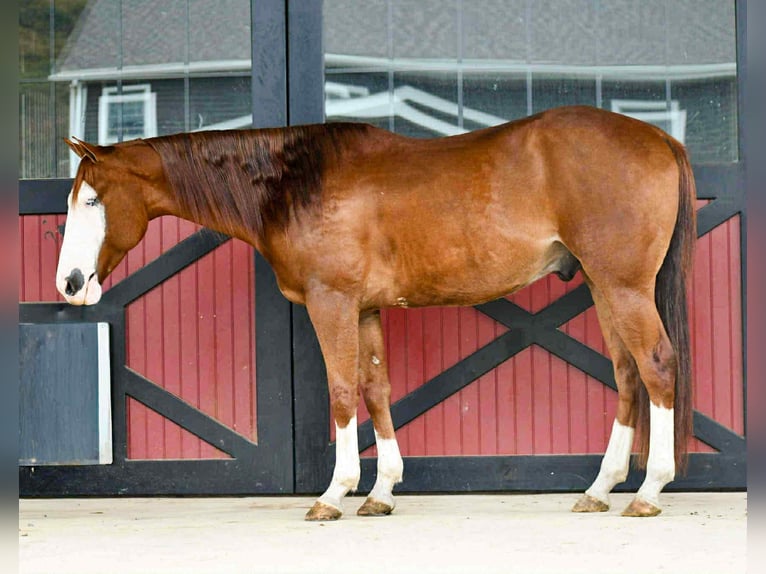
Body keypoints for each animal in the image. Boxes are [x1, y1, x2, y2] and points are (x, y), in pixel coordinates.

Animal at [56, 105, 695, 520]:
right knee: (628, 374)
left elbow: (342, 391)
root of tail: (659, 139)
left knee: (657, 365)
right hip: (602, 285)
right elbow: (376, 388)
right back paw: (601, 488)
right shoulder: (363, 310)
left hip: (623, 285)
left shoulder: (332, 302)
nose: (70, 284)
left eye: (92, 200)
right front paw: (381, 492)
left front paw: (333, 494)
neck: (295, 183)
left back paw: (649, 491)